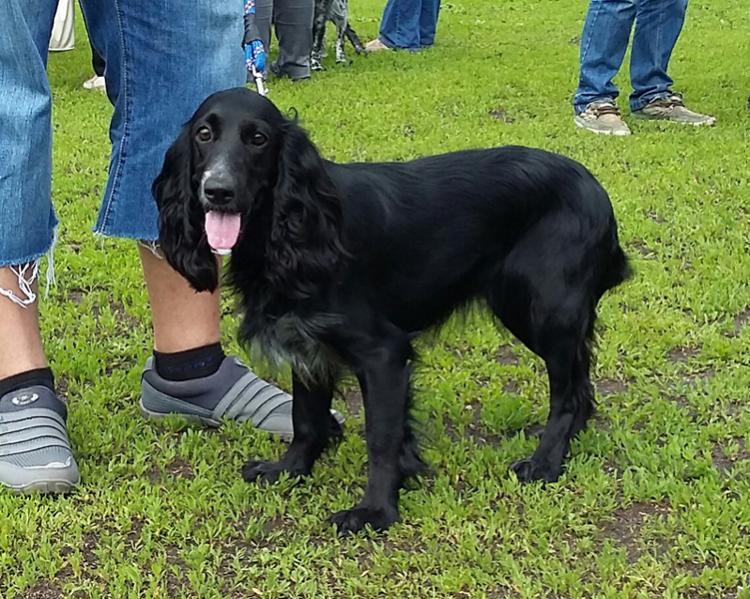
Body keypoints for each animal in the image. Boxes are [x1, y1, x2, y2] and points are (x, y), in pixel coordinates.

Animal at [154, 88, 631, 534]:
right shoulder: (308, 343)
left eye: (258, 139)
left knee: (567, 394)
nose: (217, 191)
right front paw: (290, 470)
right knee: (580, 385)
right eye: (204, 134)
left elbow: (381, 439)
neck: (291, 228)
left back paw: (546, 462)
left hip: (543, 310)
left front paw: (375, 510)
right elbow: (305, 418)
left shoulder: (383, 353)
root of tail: (595, 189)